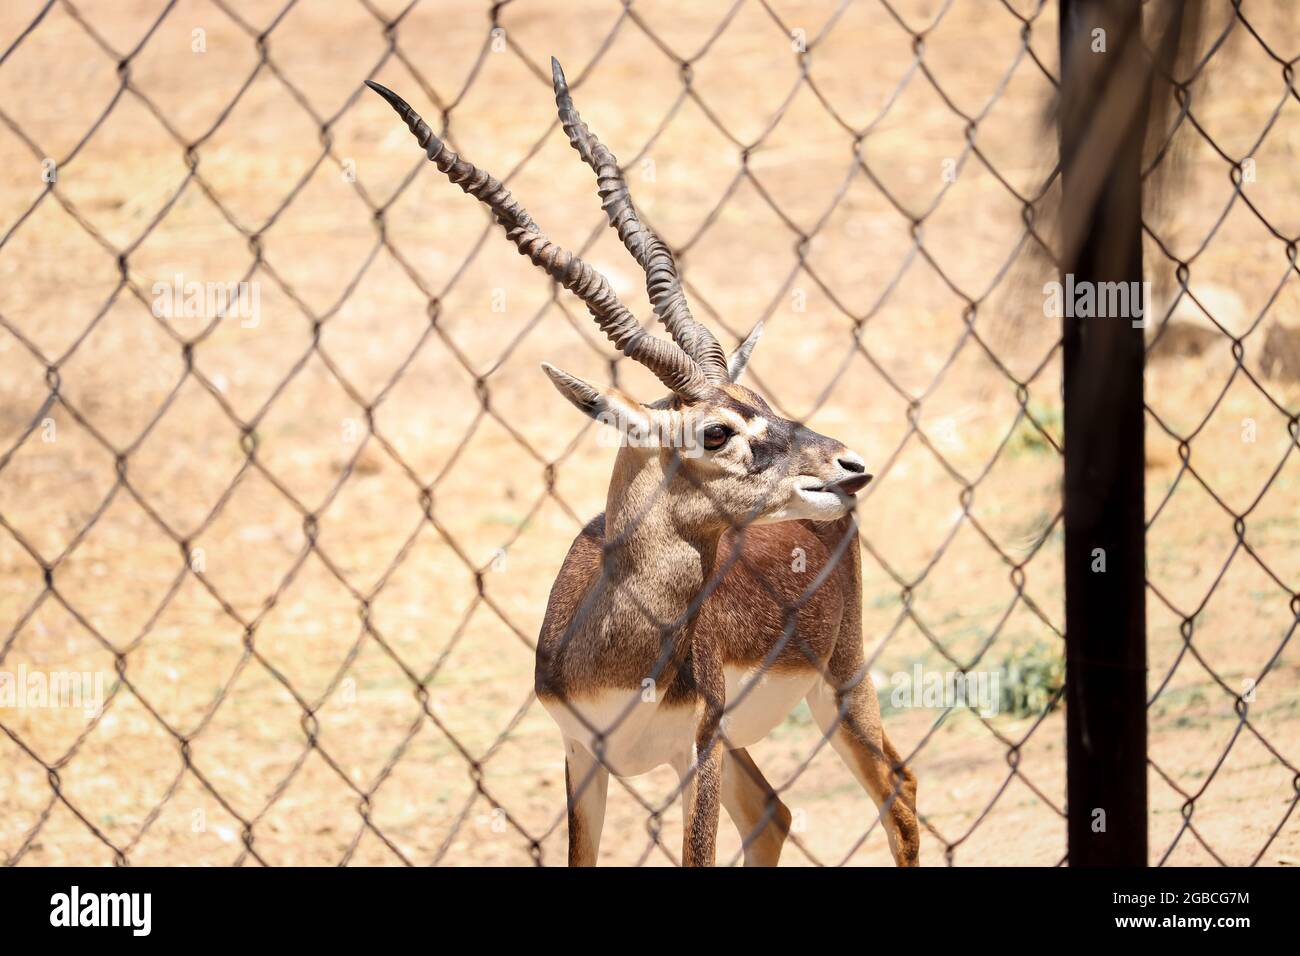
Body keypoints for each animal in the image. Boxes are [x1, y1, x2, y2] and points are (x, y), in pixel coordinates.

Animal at [364, 59, 925, 868]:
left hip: (840, 683)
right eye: (716, 432)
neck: (624, 648)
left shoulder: (699, 750)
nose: (848, 466)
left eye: (760, 398)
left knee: (898, 792)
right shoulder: (581, 757)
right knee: (777, 811)